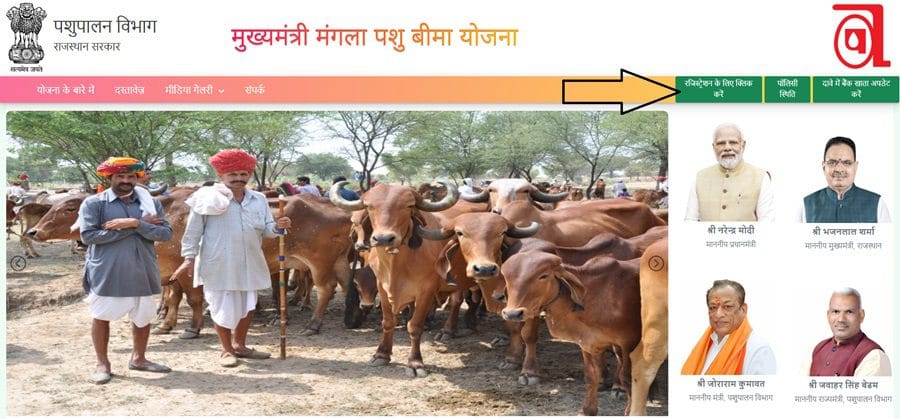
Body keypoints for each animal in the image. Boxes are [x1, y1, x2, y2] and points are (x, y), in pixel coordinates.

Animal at [329, 180, 458, 378]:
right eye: (369, 206)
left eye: (409, 206)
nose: (383, 238)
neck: (397, 266)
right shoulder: (382, 287)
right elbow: (388, 321)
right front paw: (381, 354)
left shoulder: (426, 291)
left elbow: (415, 326)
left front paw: (415, 362)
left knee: (457, 302)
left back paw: (448, 330)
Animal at [501, 251, 643, 416]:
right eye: (506, 277)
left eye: (543, 276)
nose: (512, 314)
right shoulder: (588, 343)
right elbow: (591, 376)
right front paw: (587, 410)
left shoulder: (630, 343)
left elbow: (629, 378)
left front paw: (631, 411)